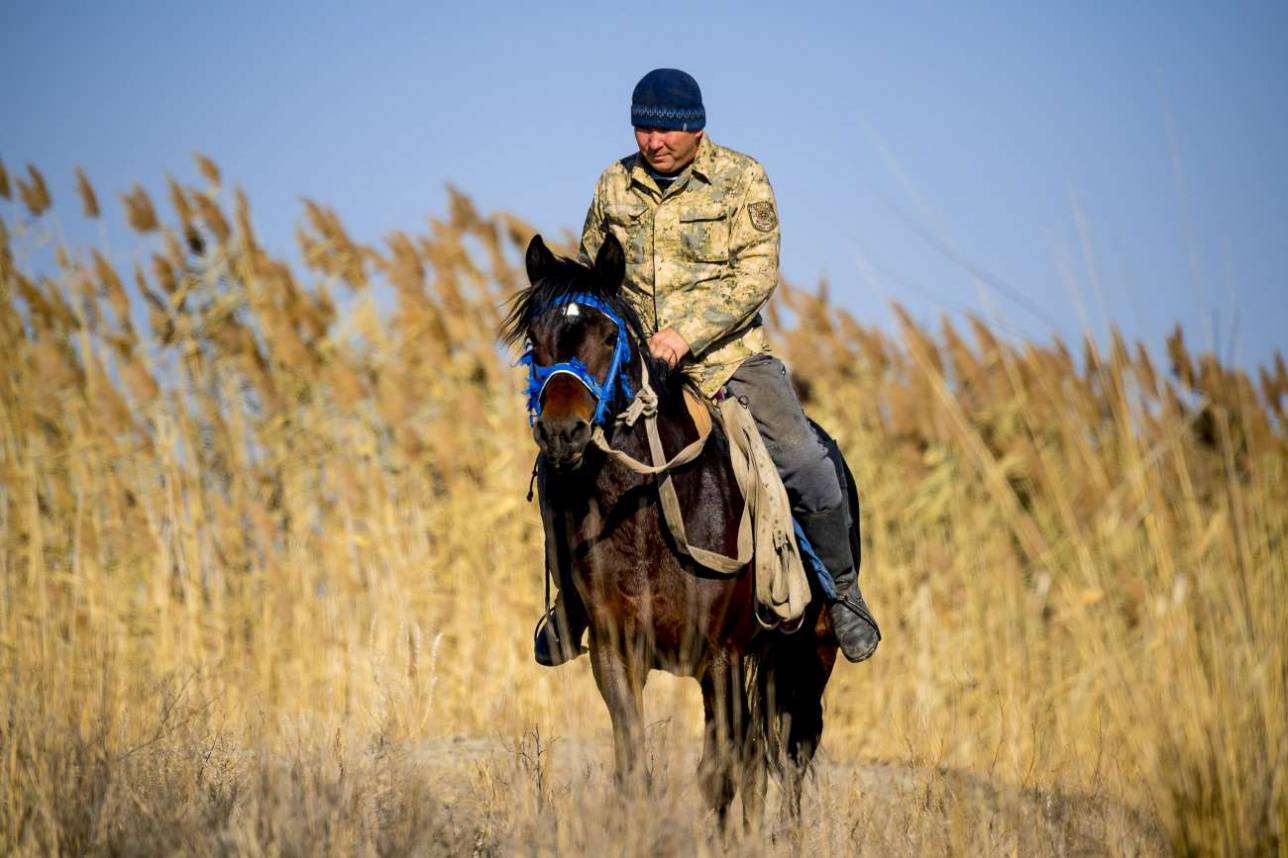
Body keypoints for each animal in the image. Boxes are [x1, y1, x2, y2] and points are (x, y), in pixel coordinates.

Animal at [499, 234, 844, 824]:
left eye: (609, 335)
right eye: (533, 339)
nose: (563, 434)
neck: (645, 516)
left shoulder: (721, 658)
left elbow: (717, 777)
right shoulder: (617, 652)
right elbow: (636, 768)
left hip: (809, 656)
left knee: (793, 759)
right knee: (760, 766)